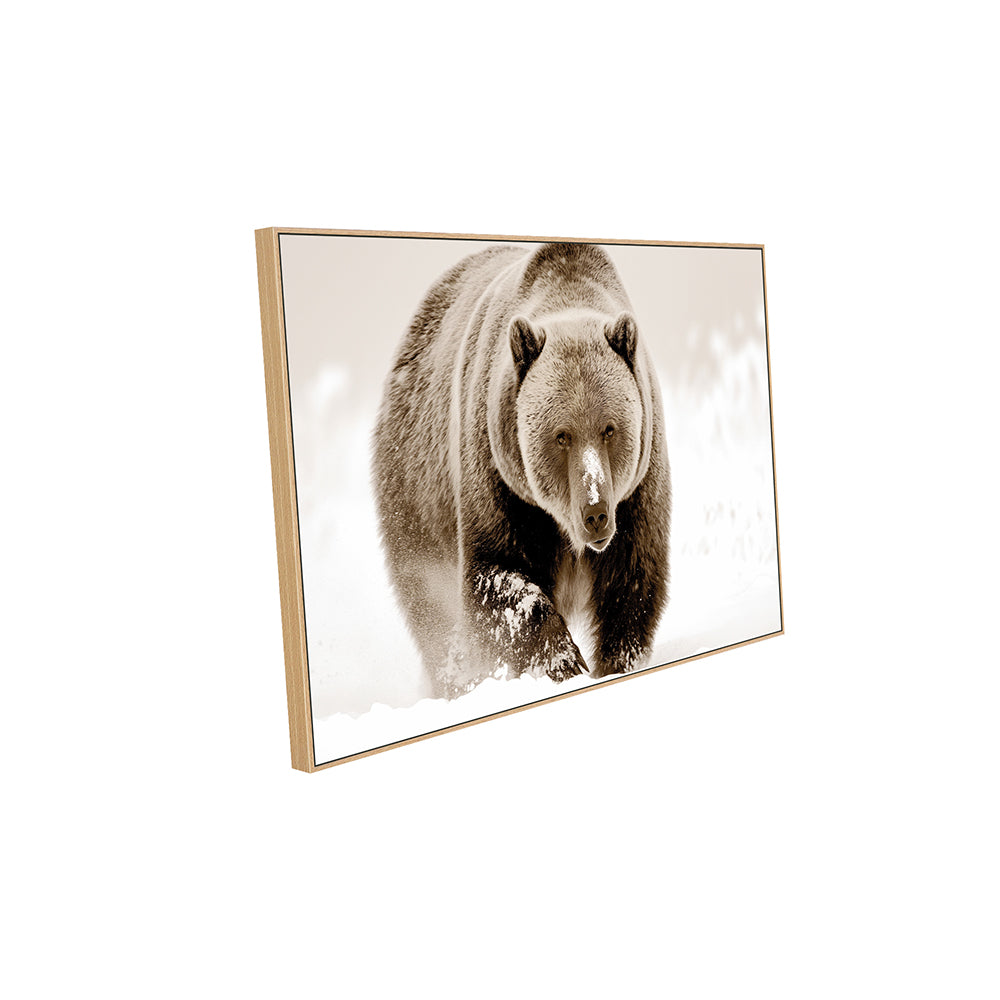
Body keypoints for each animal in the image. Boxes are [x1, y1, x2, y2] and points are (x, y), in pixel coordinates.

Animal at [373, 241, 670, 698]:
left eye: (609, 428)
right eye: (562, 435)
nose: (596, 513)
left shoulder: (638, 491)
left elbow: (632, 585)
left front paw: (615, 663)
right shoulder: (500, 480)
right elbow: (499, 578)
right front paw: (564, 663)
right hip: (416, 493)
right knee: (432, 608)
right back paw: (458, 682)